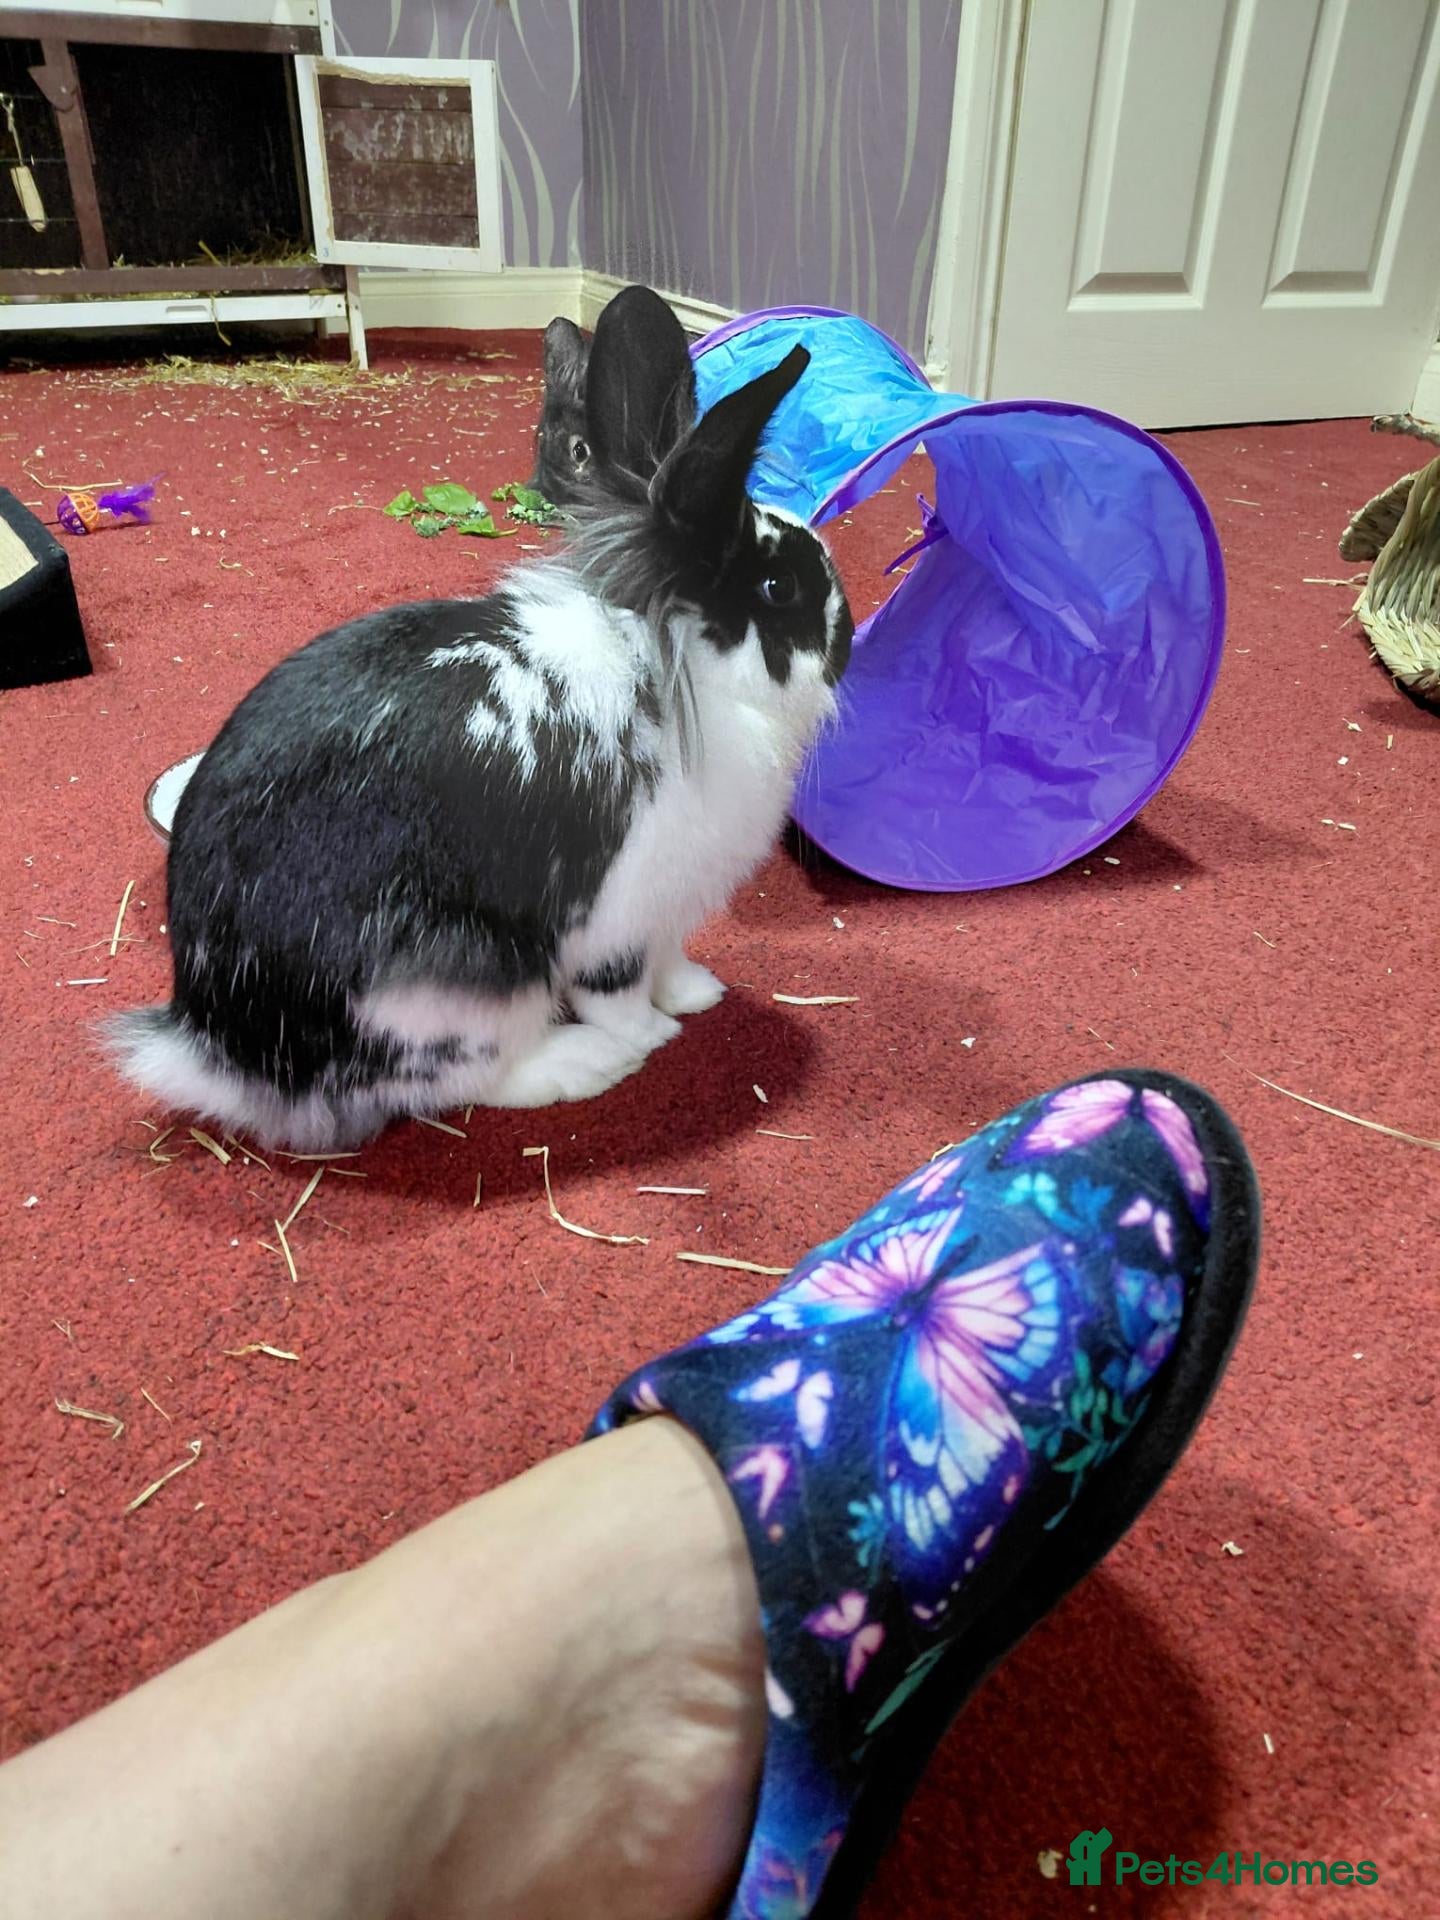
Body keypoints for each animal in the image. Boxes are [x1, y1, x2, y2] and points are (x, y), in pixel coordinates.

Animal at [106, 284, 854, 1153]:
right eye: (778, 590)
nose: (850, 640)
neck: (685, 670)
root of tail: (218, 1049)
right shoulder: (618, 917)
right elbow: (620, 991)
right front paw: (655, 1036)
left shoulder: (669, 914)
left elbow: (671, 966)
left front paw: (700, 993)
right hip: (454, 990)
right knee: (465, 1080)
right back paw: (586, 1063)